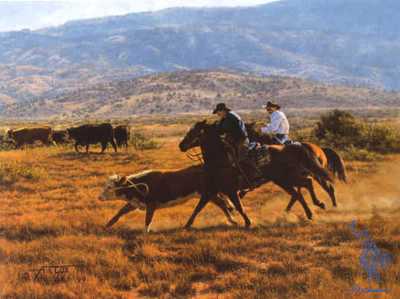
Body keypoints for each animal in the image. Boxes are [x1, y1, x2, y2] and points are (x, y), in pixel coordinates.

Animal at [99, 166, 239, 232]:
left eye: (110, 187)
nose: (99, 197)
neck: (140, 185)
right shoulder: (134, 203)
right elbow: (119, 213)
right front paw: (106, 226)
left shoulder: (151, 204)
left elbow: (148, 219)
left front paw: (146, 231)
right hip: (208, 194)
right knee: (222, 204)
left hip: (208, 194)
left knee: (220, 204)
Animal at [180, 120, 332, 226]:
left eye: (194, 132)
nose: (181, 145)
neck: (220, 160)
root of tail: (292, 148)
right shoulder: (210, 190)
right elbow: (198, 208)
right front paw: (187, 225)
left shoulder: (230, 190)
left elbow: (239, 207)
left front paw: (248, 222)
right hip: (283, 180)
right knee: (300, 192)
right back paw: (310, 211)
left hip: (287, 178)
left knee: (307, 185)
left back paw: (318, 205)